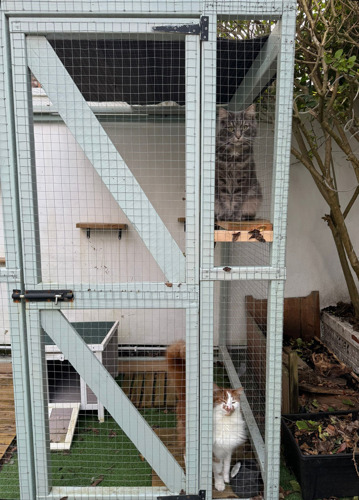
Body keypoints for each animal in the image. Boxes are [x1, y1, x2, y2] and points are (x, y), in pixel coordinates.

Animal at [167, 340, 248, 492]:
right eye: (223, 402)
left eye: (233, 402)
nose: (229, 408)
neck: (227, 423)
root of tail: (185, 395)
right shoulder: (215, 452)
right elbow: (218, 470)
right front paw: (220, 484)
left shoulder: (228, 448)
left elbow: (226, 466)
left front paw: (227, 478)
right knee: (186, 452)